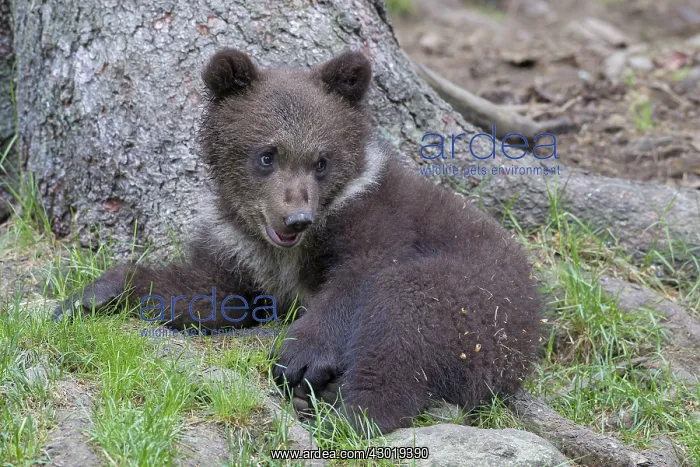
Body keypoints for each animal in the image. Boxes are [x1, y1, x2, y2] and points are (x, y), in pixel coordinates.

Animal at [54, 48, 542, 433]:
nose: (297, 218)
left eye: (321, 160)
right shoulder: (241, 250)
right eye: (266, 155)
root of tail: (537, 320)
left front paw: (299, 357)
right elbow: (207, 293)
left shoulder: (377, 218)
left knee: (405, 318)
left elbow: (360, 274)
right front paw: (91, 293)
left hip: (482, 306)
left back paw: (348, 414)